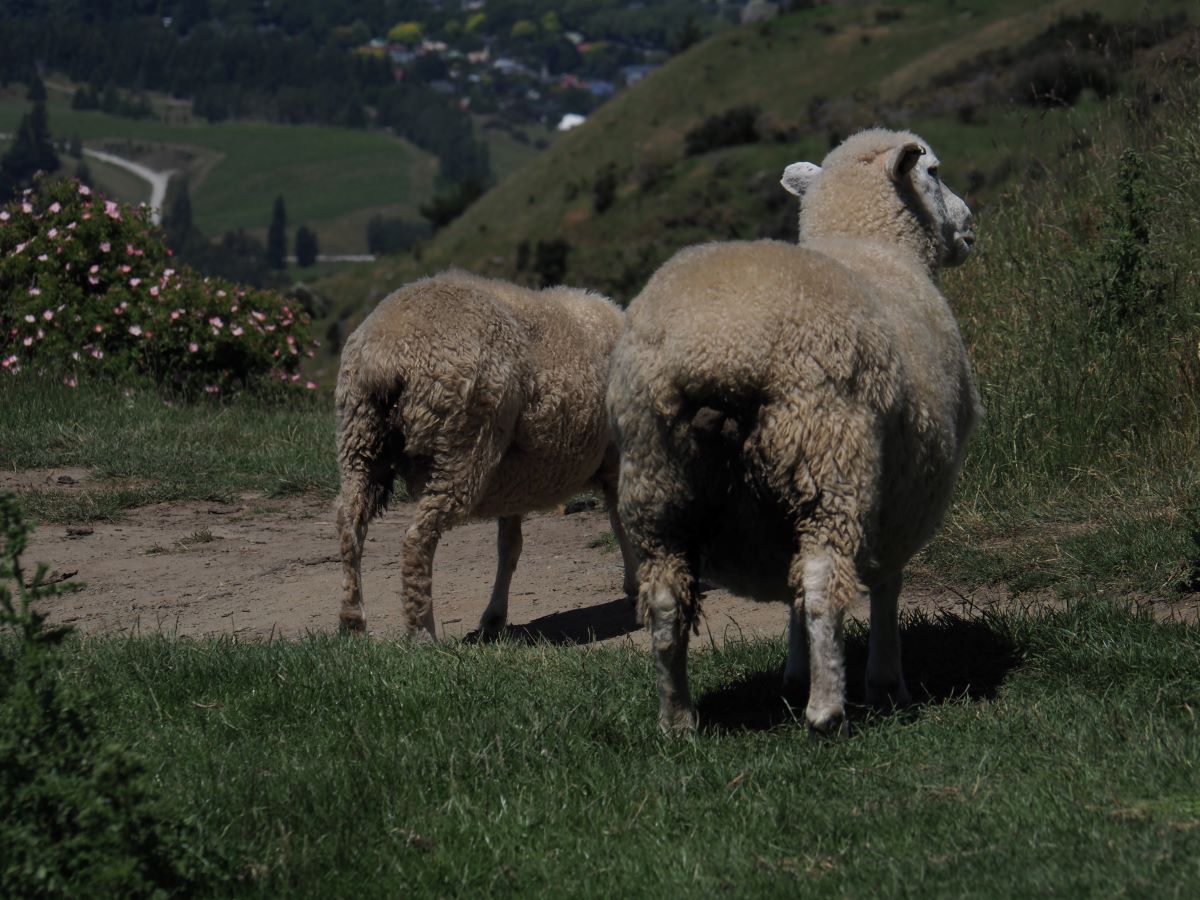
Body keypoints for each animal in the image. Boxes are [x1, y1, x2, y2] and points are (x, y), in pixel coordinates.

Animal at [333, 270, 643, 643]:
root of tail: (385, 353)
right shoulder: (615, 459)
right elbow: (622, 525)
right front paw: (636, 587)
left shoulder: (515, 480)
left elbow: (509, 546)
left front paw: (495, 618)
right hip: (460, 447)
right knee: (417, 538)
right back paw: (422, 631)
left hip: (359, 439)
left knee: (349, 524)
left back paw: (352, 620)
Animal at [604, 128, 979, 734]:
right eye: (935, 172)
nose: (970, 227)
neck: (871, 243)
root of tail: (715, 353)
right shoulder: (902, 499)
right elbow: (882, 587)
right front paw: (886, 684)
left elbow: (791, 593)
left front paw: (793, 671)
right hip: (830, 459)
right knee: (825, 581)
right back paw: (827, 710)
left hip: (657, 485)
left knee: (664, 600)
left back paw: (678, 720)